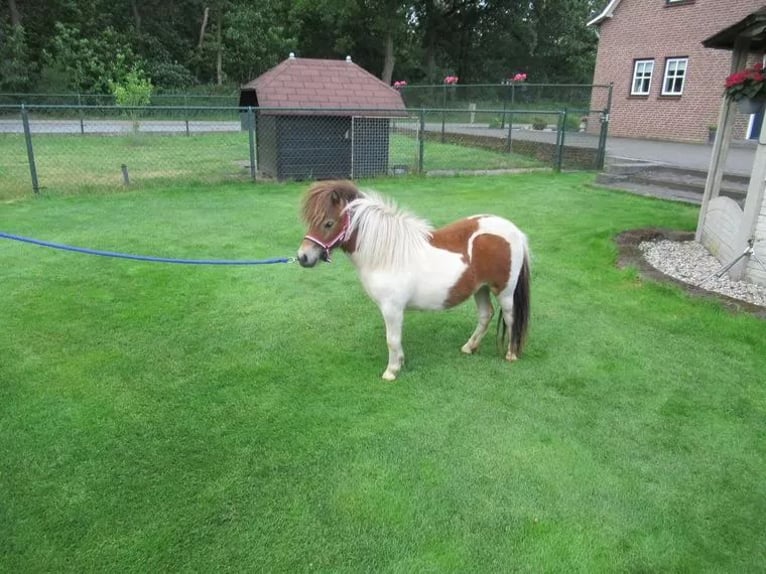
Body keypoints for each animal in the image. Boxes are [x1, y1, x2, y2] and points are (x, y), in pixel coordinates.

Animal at [297, 180, 530, 381]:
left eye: (328, 223)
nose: (302, 257)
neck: (386, 255)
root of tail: (516, 232)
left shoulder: (392, 308)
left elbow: (392, 339)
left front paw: (391, 371)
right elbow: (396, 339)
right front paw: (400, 362)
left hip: (504, 292)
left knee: (510, 317)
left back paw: (511, 355)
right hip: (480, 288)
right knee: (485, 315)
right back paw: (469, 347)